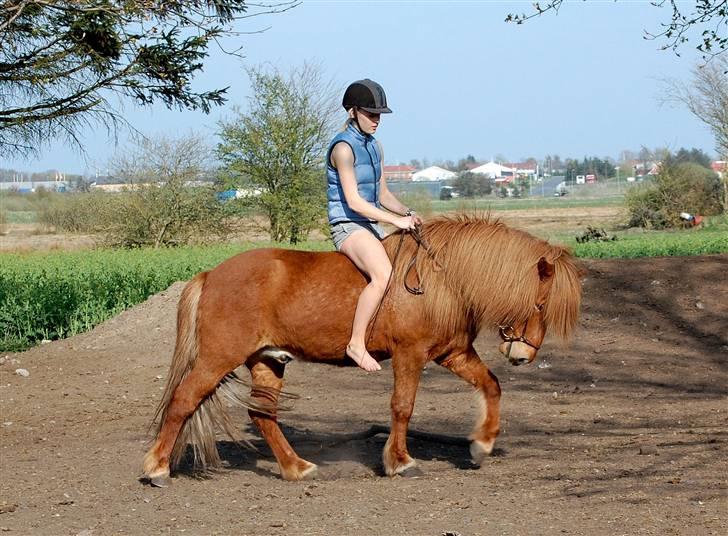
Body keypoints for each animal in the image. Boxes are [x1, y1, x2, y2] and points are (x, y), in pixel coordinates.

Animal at [144, 215, 580, 486]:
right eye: (541, 303)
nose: (523, 355)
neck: (443, 279)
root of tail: (211, 274)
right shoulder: (410, 354)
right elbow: (402, 407)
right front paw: (401, 462)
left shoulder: (452, 353)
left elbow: (491, 385)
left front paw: (481, 445)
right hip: (218, 359)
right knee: (183, 401)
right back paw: (157, 469)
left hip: (267, 361)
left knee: (262, 414)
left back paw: (295, 467)